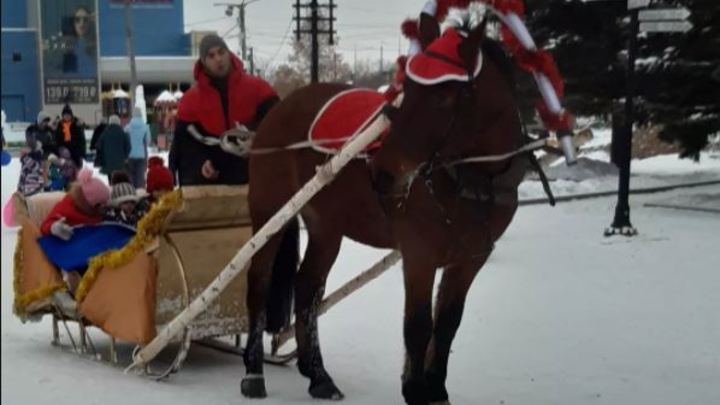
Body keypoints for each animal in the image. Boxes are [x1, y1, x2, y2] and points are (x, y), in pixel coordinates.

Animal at [242, 16, 528, 404]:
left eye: (444, 96)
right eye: (407, 88)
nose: (382, 172)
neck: (470, 179)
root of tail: (282, 105)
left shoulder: (469, 259)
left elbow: (448, 324)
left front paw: (436, 388)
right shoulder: (420, 254)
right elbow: (419, 326)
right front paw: (416, 390)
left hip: (327, 226)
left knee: (307, 289)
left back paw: (318, 375)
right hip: (271, 211)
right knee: (259, 280)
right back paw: (253, 370)